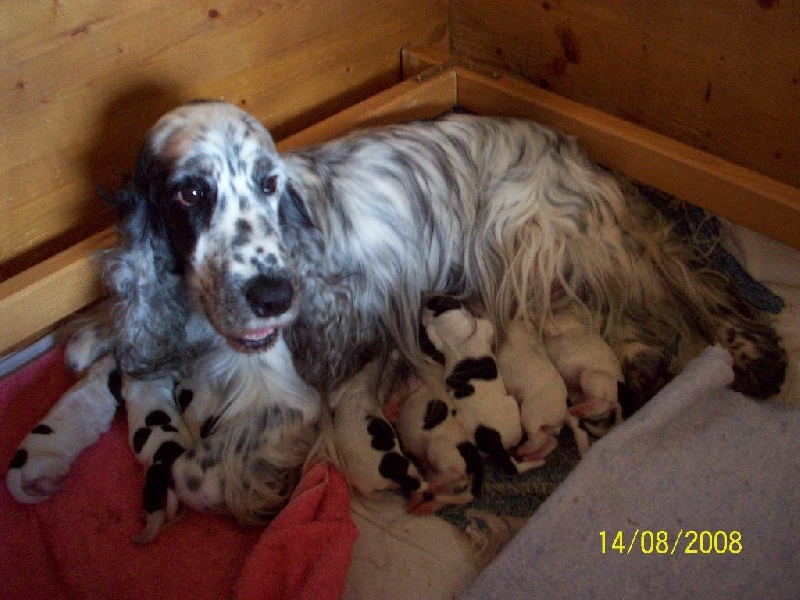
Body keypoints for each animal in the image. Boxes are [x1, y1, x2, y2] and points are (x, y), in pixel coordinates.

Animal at [7, 101, 788, 528]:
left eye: (269, 182)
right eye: (192, 193)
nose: (275, 296)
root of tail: (580, 153)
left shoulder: (286, 398)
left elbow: (204, 471)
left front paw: (225, 493)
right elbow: (122, 334)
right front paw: (95, 339)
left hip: (534, 235)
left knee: (675, 286)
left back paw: (741, 354)